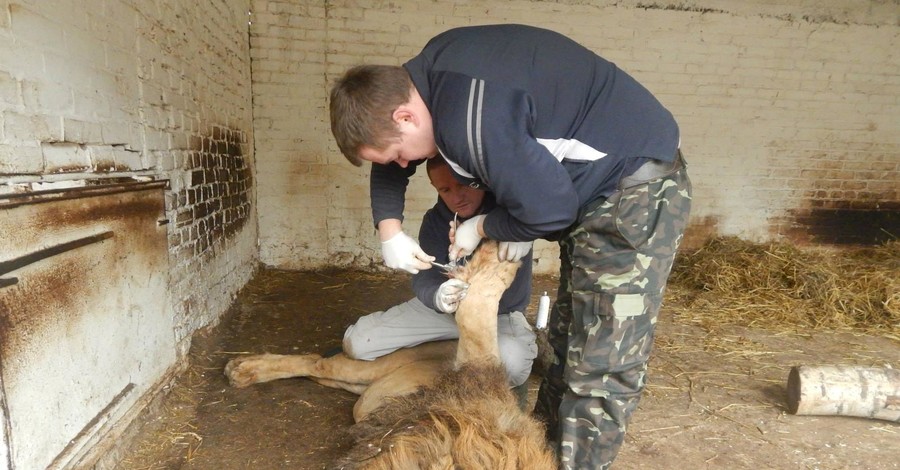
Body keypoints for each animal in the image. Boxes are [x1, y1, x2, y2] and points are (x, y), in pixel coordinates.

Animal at [225, 242, 556, 470]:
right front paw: (498, 258)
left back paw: (242, 368)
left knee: (320, 367)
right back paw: (242, 368)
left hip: (374, 394)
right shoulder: (477, 386)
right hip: (379, 375)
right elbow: (477, 310)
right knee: (319, 362)